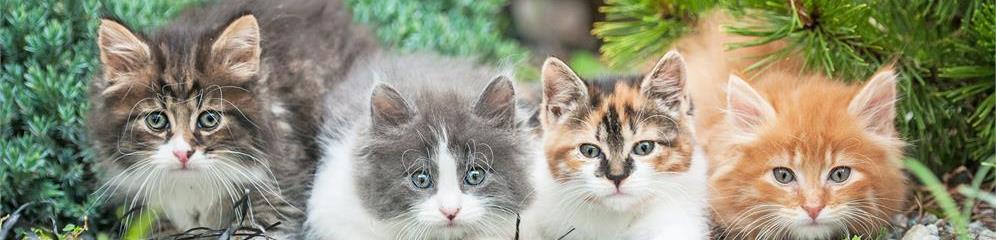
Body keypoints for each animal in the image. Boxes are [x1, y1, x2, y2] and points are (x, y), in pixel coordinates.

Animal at [84, 0, 374, 236]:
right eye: (156, 120)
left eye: (209, 119)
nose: (182, 154)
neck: (192, 187)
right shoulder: (147, 210)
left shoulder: (280, 190)